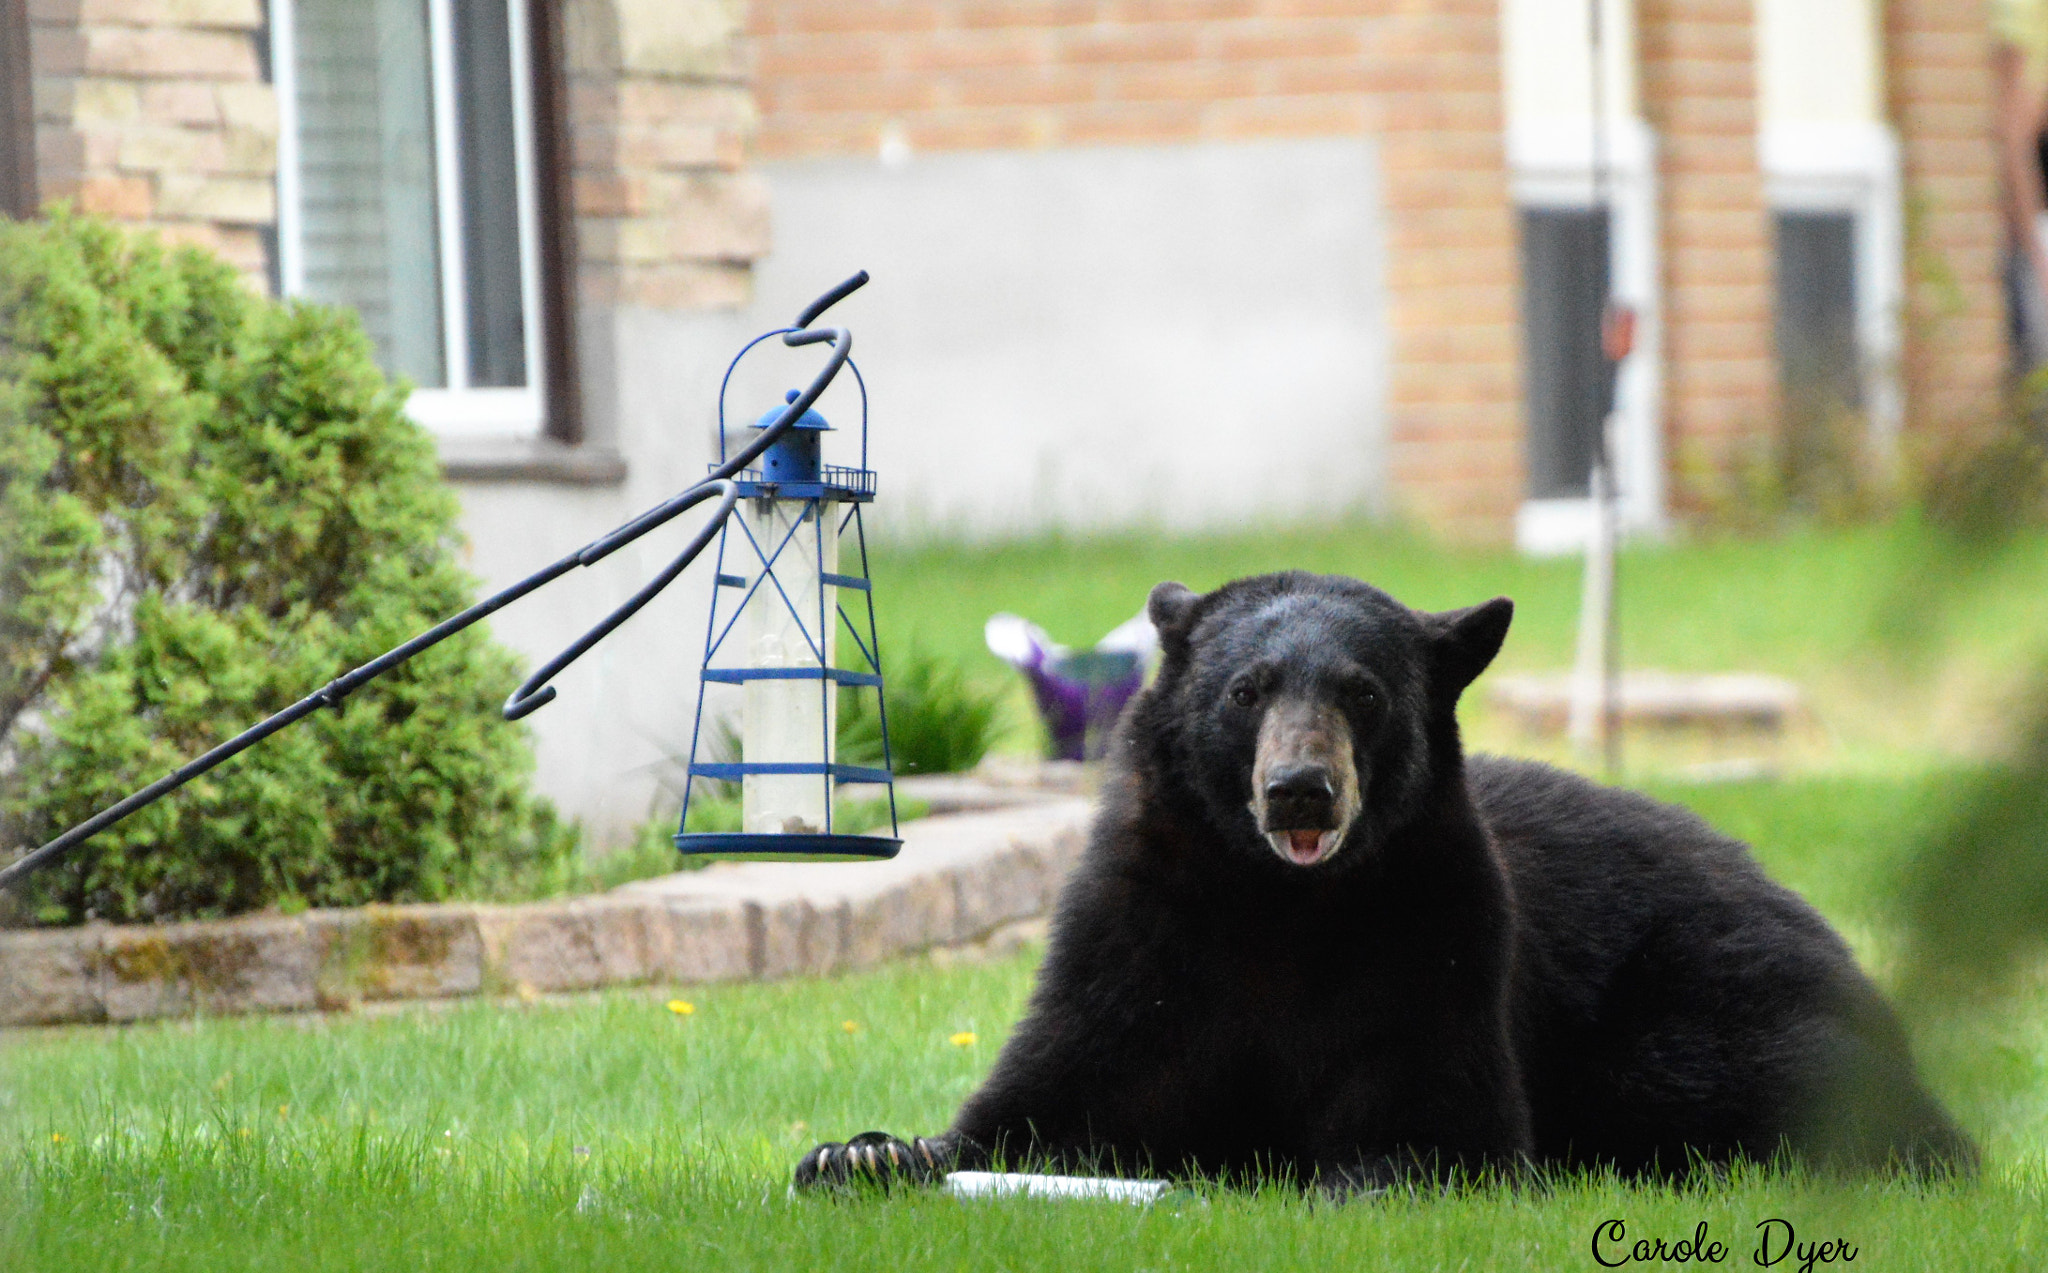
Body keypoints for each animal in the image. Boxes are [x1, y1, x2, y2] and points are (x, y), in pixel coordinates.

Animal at [795, 571, 1975, 1192]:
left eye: (1361, 691)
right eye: (1246, 688)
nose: (1300, 791)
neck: (1279, 906)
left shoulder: (1432, 934)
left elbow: (1438, 1118)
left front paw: (1346, 1166)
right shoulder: (1140, 929)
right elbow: (1055, 1092)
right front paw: (858, 1152)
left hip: (1712, 1006)